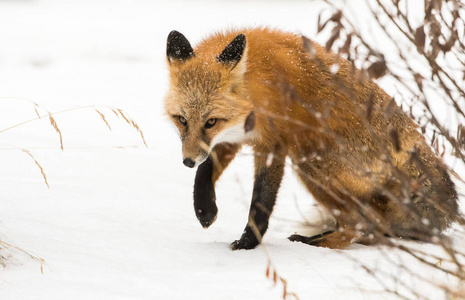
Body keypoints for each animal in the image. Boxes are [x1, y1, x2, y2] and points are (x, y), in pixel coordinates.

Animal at [163, 28, 456, 250]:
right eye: (182, 120)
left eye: (211, 121)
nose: (187, 161)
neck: (254, 90)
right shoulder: (233, 137)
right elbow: (205, 171)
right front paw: (204, 210)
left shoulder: (274, 145)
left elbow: (261, 200)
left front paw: (248, 243)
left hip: (310, 161)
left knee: (362, 224)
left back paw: (311, 243)